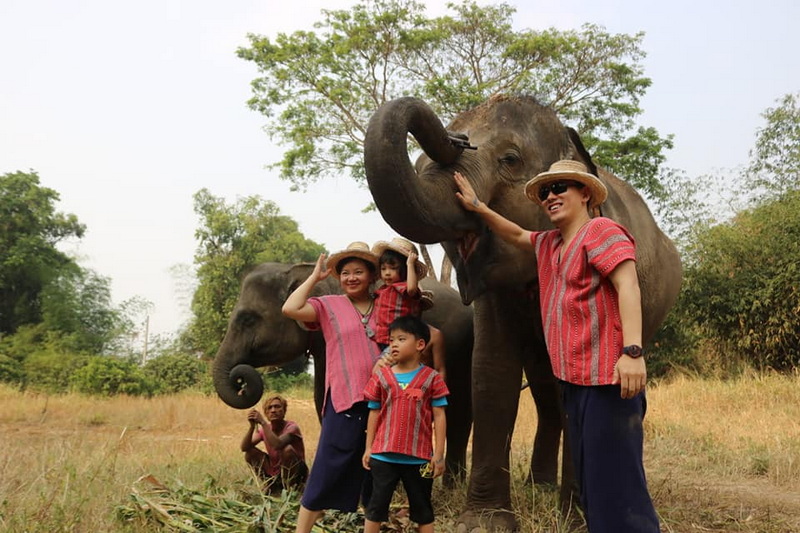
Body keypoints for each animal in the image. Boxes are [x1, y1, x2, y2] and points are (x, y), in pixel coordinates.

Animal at [211, 260, 476, 482]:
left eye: (248, 319)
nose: (240, 381)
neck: (295, 269)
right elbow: (322, 396)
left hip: (460, 349)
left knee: (459, 416)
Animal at [362, 93, 680, 528]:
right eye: (423, 165)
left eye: (510, 159)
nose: (457, 139)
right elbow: (492, 372)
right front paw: (482, 525)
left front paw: (576, 525)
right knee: (547, 394)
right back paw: (540, 486)